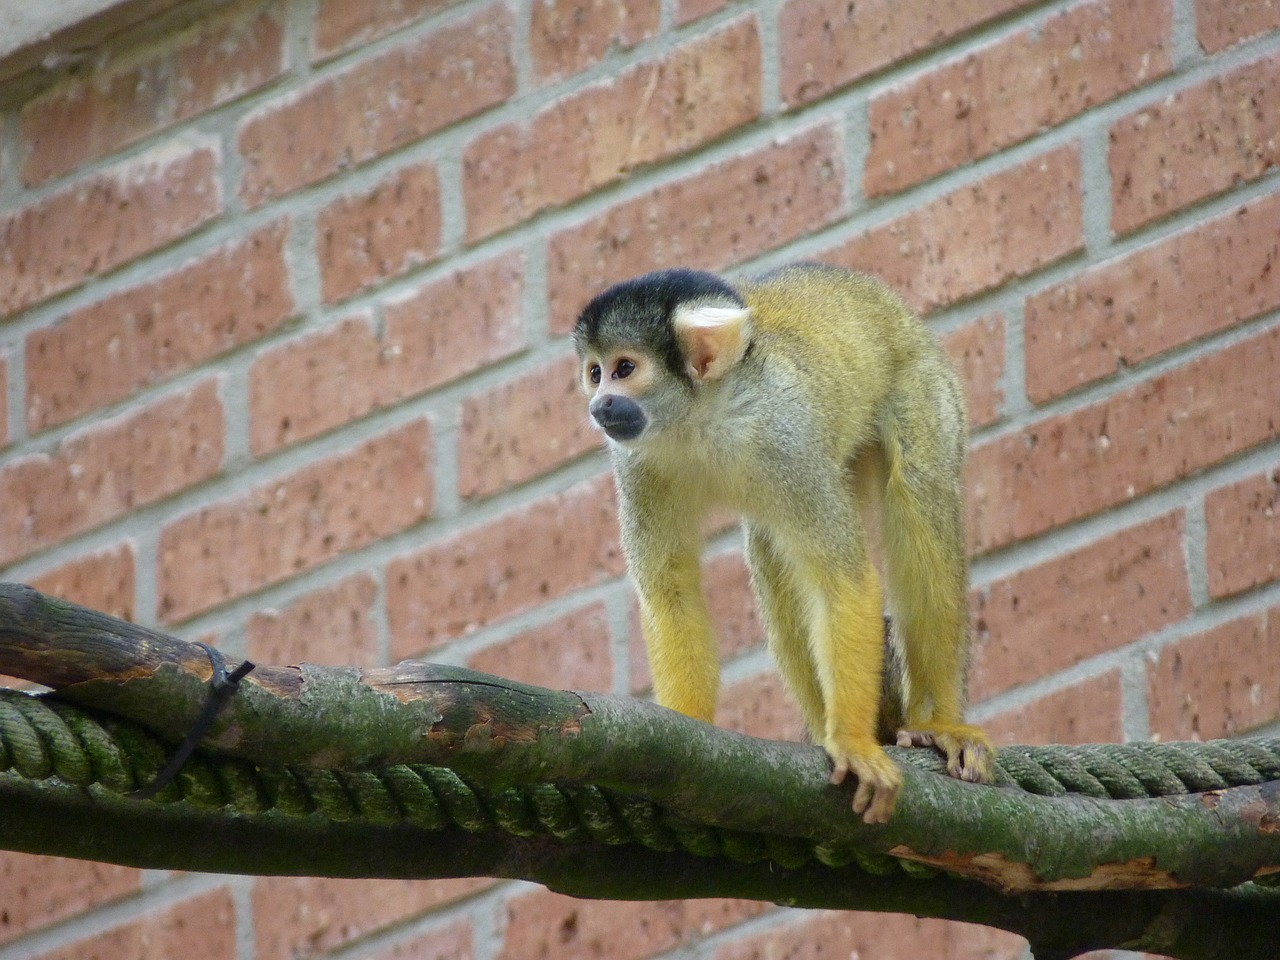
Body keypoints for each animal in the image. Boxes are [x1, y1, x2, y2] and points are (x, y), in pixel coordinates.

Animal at [573, 263, 998, 829]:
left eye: (624, 368)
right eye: (594, 372)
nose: (599, 404)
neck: (702, 417)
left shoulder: (783, 438)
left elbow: (842, 578)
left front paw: (853, 742)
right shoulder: (637, 462)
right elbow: (670, 590)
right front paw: (681, 733)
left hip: (924, 385)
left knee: (920, 492)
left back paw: (938, 724)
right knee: (769, 545)